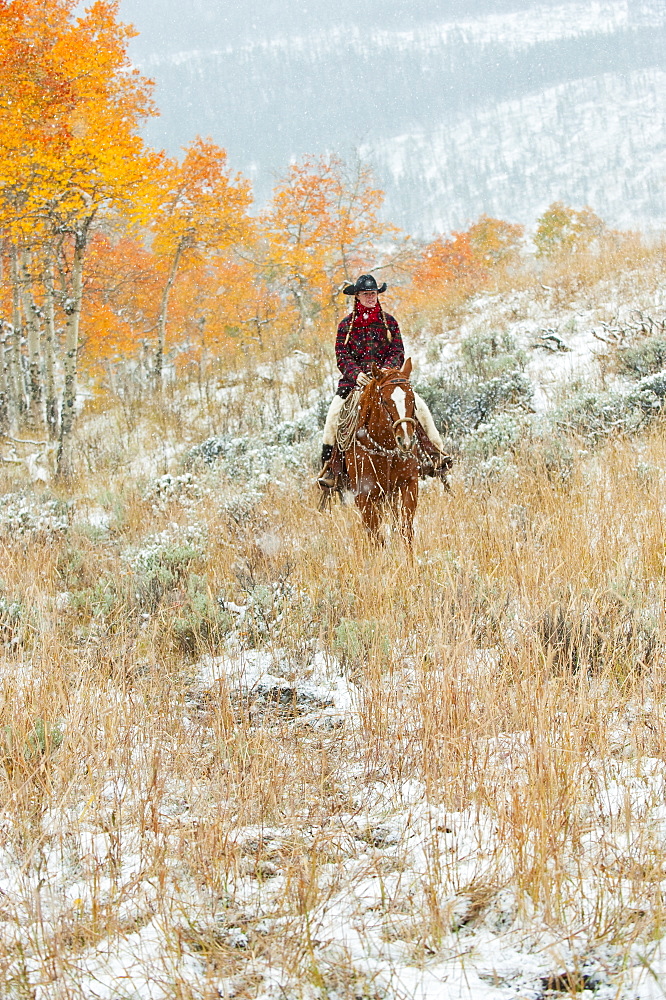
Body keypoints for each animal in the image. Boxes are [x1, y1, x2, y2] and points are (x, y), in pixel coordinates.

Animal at [342, 360, 416, 548]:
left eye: (412, 398)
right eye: (385, 401)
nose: (406, 440)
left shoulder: (409, 483)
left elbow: (406, 529)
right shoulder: (364, 496)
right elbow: (376, 537)